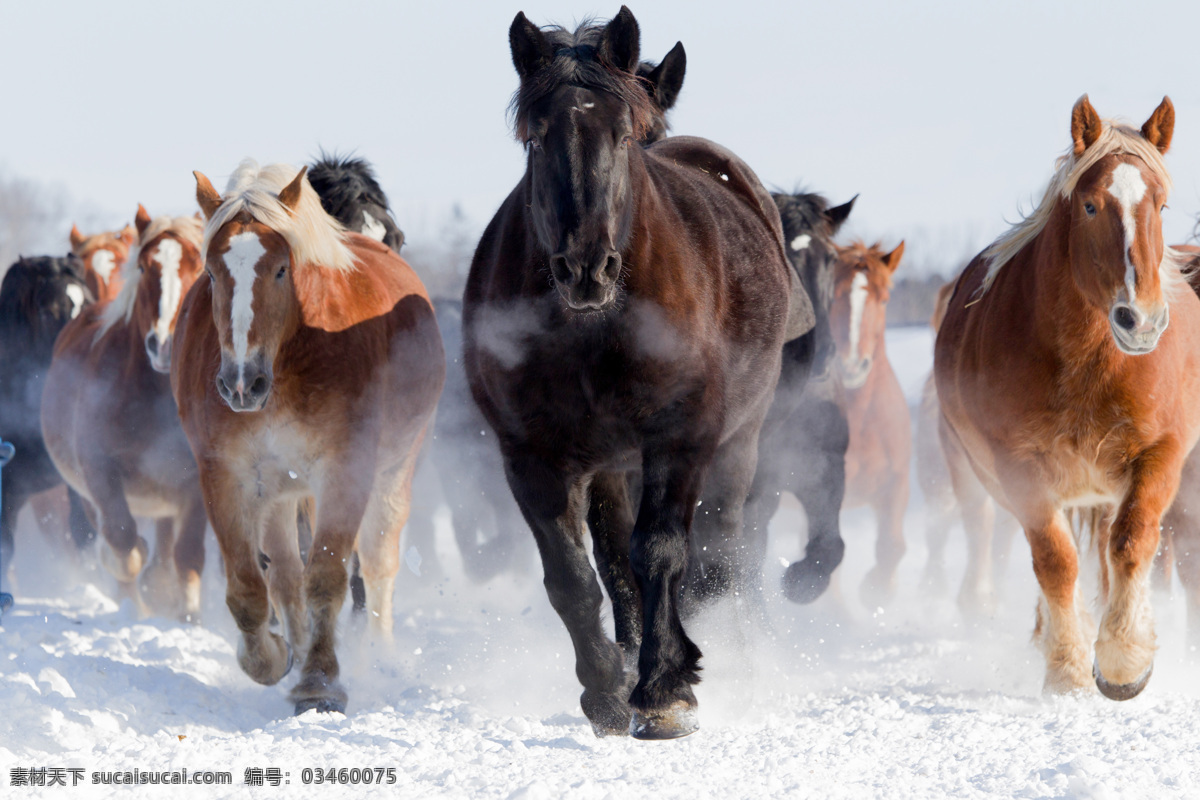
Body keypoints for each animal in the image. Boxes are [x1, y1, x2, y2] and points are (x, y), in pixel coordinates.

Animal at [42, 206, 207, 619]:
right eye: (145, 267)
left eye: (199, 266)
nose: (164, 344)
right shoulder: (100, 472)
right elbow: (122, 541)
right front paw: (135, 603)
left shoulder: (198, 478)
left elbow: (188, 551)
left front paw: (187, 614)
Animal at [175, 160, 443, 714]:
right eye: (211, 272)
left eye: (281, 269)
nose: (241, 383)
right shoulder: (226, 476)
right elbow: (250, 587)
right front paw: (274, 658)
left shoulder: (345, 471)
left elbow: (327, 576)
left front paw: (320, 683)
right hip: (281, 490)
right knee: (284, 574)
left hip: (392, 474)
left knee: (377, 566)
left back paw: (378, 655)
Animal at [464, 8, 806, 739]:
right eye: (535, 136)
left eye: (623, 134)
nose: (586, 267)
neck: (595, 330)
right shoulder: (534, 457)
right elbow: (574, 577)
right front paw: (607, 690)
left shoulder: (680, 437)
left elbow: (662, 554)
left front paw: (665, 689)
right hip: (610, 464)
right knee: (617, 559)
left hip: (738, 441)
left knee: (716, 553)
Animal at [935, 95, 1199, 700]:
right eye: (1091, 206)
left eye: (1162, 204)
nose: (1141, 321)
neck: (1088, 364)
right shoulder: (1019, 467)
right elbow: (1055, 561)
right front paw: (1069, 669)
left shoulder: (1162, 454)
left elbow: (1132, 542)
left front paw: (1124, 660)